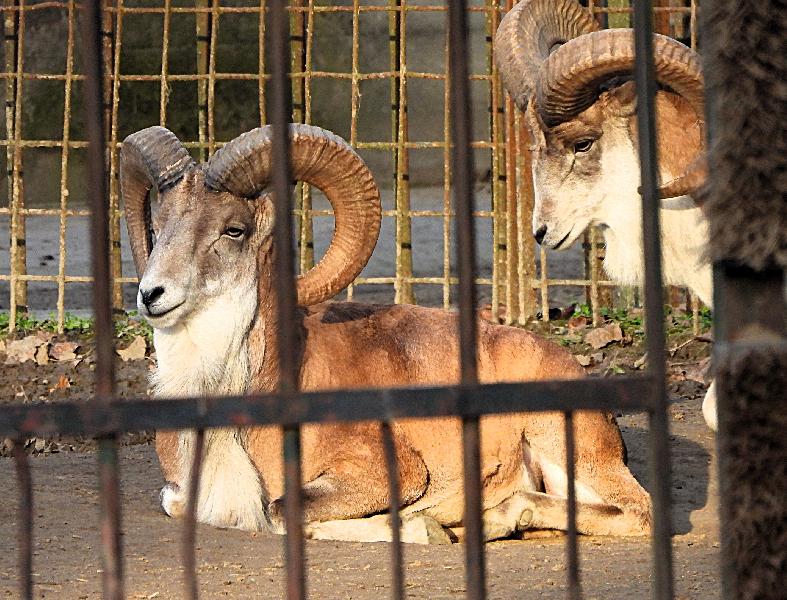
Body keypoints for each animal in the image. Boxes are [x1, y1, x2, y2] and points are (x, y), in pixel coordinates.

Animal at [121, 123, 651, 543]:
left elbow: (282, 512)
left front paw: (427, 528)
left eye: (233, 230)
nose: (152, 294)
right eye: (158, 226)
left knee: (636, 511)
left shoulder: (383, 472)